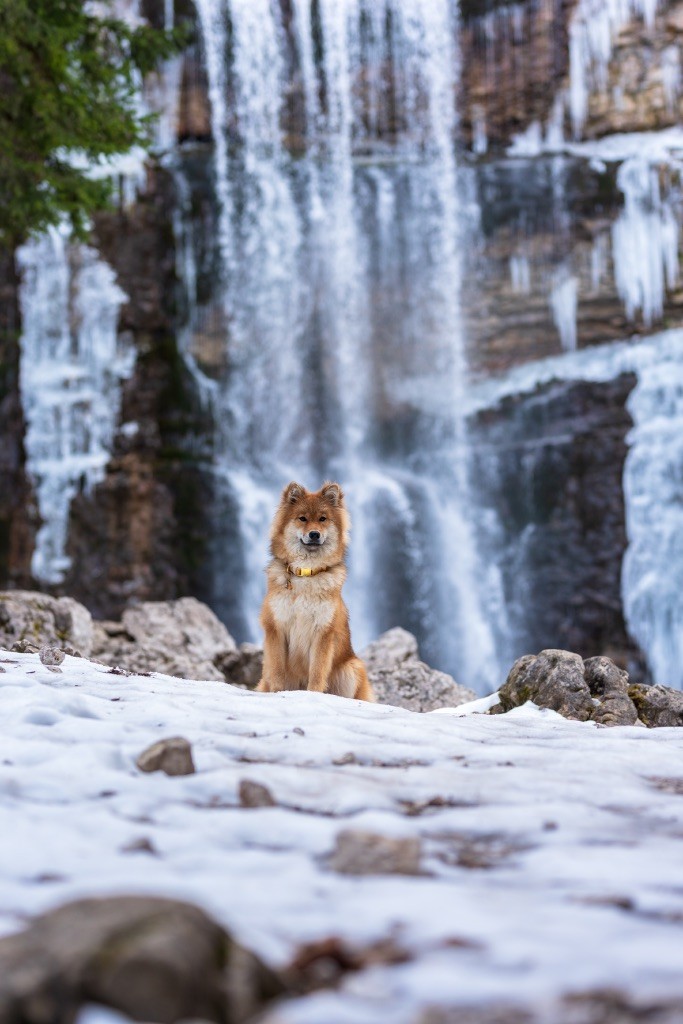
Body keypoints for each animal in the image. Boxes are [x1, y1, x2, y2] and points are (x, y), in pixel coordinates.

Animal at [255, 483, 374, 700]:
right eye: (302, 518)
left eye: (322, 519)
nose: (314, 534)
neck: (306, 574)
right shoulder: (276, 628)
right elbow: (276, 670)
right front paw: (277, 692)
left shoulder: (323, 632)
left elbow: (318, 671)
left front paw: (313, 695)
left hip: (351, 668)